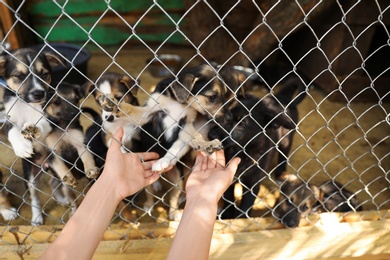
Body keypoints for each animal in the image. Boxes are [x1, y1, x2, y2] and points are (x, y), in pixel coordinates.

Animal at [0, 47, 64, 224]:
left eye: (45, 74)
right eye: (19, 76)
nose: (39, 93)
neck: (27, 105)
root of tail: (45, 165)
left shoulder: (50, 119)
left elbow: (41, 123)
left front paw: (33, 128)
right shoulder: (8, 119)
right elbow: (13, 131)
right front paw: (22, 146)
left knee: (54, 182)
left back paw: (62, 198)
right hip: (31, 178)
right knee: (35, 197)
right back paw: (37, 217)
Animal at [209, 76, 306, 218]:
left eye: (242, 123)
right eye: (225, 114)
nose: (211, 135)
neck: (242, 152)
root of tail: (282, 97)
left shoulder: (253, 185)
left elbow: (245, 208)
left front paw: (241, 219)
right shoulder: (229, 180)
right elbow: (229, 202)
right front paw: (228, 216)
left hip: (286, 141)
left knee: (283, 156)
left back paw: (280, 173)